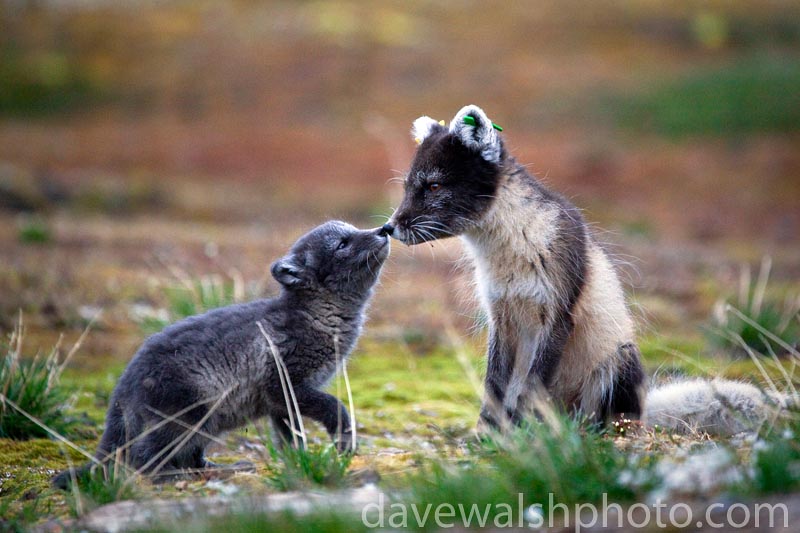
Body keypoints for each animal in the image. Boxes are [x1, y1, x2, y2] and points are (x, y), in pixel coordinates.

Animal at [51, 220, 390, 486]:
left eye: (353, 230)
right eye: (342, 244)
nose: (384, 229)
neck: (316, 316)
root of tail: (124, 383)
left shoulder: (279, 405)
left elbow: (290, 438)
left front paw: (297, 464)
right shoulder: (284, 384)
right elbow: (335, 406)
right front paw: (344, 441)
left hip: (204, 424)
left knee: (188, 457)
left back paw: (223, 469)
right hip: (189, 416)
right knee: (141, 455)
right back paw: (170, 478)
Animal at [384, 104, 784, 432]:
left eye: (433, 186)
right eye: (407, 187)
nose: (389, 228)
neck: (507, 251)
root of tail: (644, 408)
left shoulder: (557, 313)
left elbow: (531, 388)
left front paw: (521, 436)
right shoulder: (502, 316)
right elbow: (494, 386)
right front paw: (490, 435)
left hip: (618, 362)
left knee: (606, 418)